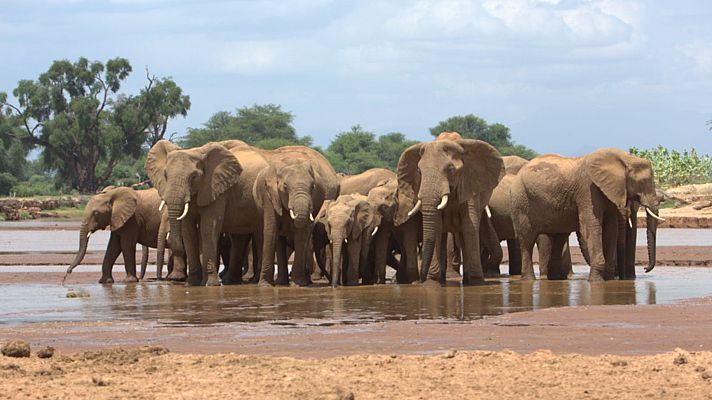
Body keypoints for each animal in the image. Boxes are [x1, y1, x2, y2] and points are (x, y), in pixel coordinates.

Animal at [145, 139, 270, 286]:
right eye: (165, 175)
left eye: (193, 176)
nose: (159, 279)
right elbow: (188, 231)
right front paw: (192, 283)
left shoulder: (216, 189)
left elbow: (208, 228)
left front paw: (210, 284)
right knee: (238, 238)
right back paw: (230, 281)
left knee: (260, 234)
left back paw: (254, 281)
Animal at [253, 145, 340, 286]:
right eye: (285, 187)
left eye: (313, 187)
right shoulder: (269, 196)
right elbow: (271, 230)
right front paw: (265, 285)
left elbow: (301, 233)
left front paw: (298, 283)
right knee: (279, 238)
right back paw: (281, 282)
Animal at [394, 134, 506, 284]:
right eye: (419, 171)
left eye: (451, 169)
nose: (420, 280)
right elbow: (436, 227)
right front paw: (432, 283)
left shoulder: (469, 183)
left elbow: (469, 226)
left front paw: (476, 282)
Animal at [512, 148, 660, 282]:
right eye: (643, 181)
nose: (645, 269)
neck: (624, 158)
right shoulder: (588, 189)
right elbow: (592, 226)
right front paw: (596, 281)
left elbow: (611, 228)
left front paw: (608, 280)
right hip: (521, 202)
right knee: (527, 240)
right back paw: (529, 280)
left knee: (559, 237)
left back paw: (555, 280)